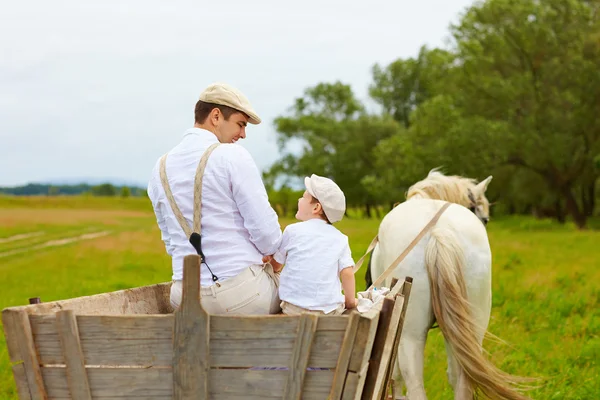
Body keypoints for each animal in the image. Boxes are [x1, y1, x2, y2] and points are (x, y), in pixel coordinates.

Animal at [366, 170, 528, 400]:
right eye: (485, 219)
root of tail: (439, 231)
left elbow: (393, 375)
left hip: (410, 334)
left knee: (415, 384)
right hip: (472, 328)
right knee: (460, 379)